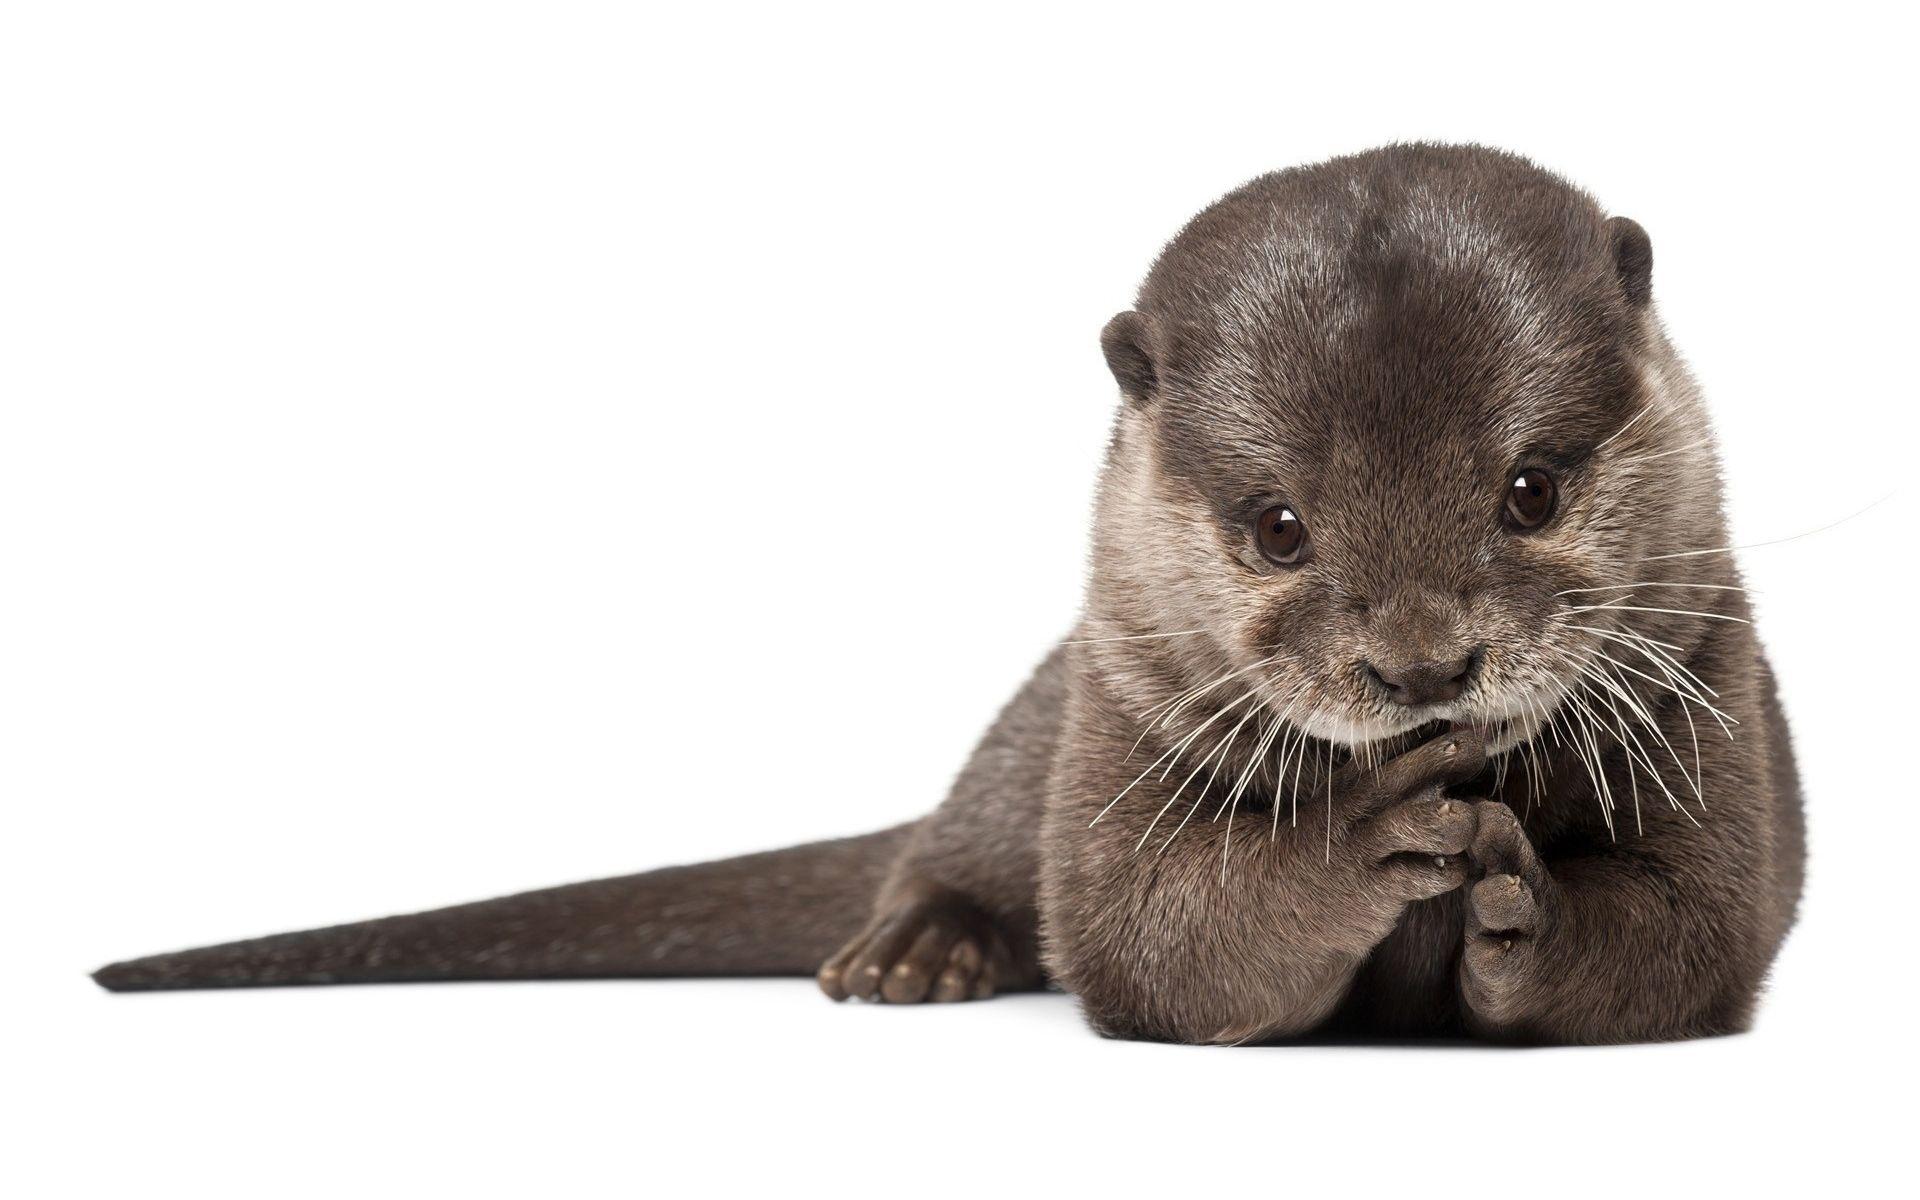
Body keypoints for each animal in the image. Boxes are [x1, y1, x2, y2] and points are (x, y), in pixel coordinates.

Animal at [93, 144, 1803, 1045]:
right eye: (1277, 527)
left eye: (1532, 489)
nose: (1423, 668)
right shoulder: (1118, 713)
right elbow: (1146, 936)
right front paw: (1370, 836)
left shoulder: (1713, 686)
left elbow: (1698, 928)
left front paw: (1526, 894)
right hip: (1033, 730)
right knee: (952, 849)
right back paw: (911, 955)